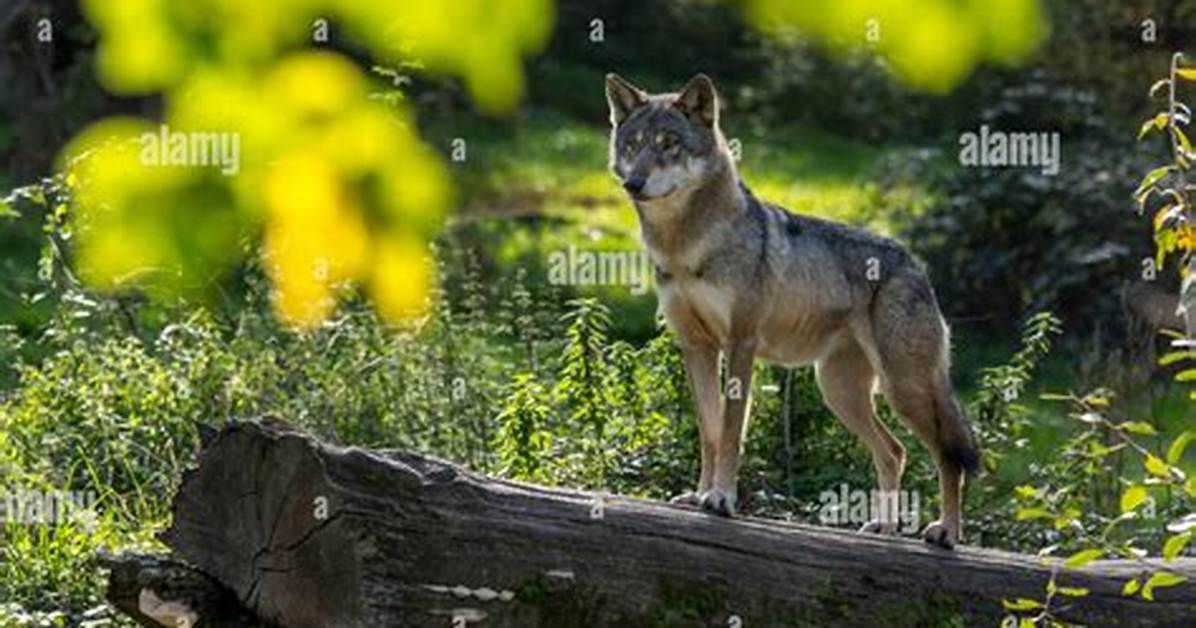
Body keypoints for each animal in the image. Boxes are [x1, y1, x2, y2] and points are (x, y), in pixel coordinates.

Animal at [605, 73, 980, 548]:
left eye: (669, 143)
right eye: (633, 144)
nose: (633, 183)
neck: (686, 245)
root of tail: (917, 265)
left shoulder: (740, 344)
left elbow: (731, 432)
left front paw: (721, 499)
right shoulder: (696, 348)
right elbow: (709, 432)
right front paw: (699, 494)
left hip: (904, 389)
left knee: (947, 456)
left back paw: (946, 531)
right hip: (839, 392)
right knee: (895, 452)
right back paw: (884, 527)